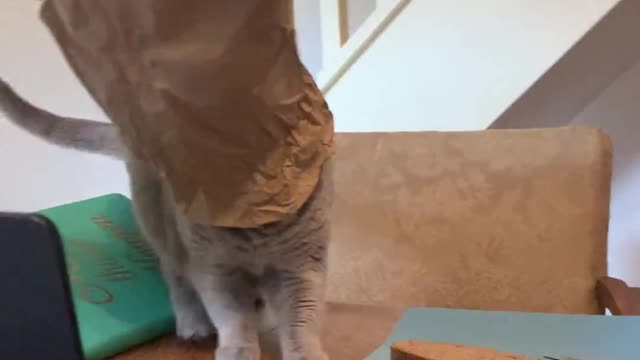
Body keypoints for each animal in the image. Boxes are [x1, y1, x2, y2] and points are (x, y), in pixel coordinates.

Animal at [0, 79, 330, 360]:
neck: (255, 228)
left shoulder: (302, 266)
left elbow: (301, 321)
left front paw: (306, 353)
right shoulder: (214, 268)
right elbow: (232, 316)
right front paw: (237, 350)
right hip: (159, 221)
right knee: (175, 274)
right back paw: (193, 324)